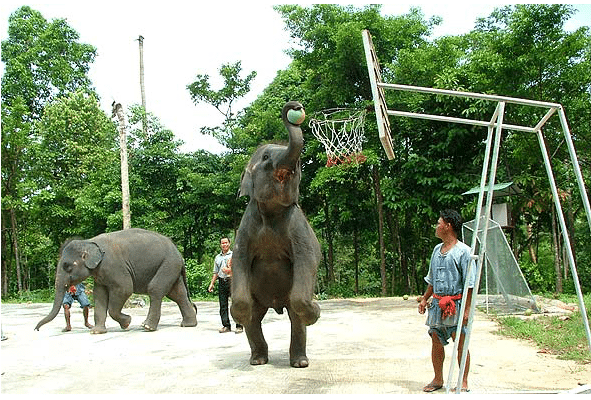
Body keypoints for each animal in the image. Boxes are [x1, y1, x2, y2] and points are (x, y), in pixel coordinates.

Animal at [35, 228, 198, 334]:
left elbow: (125, 288)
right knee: (177, 294)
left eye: (67, 266)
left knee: (155, 289)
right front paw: (97, 332)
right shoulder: (99, 275)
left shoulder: (114, 266)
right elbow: (99, 295)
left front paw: (127, 323)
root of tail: (179, 254)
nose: (36, 329)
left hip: (168, 265)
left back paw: (147, 327)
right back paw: (188, 325)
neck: (89, 242)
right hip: (171, 267)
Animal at [231, 101, 324, 368]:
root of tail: (275, 305)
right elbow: (238, 259)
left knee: (295, 316)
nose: (296, 107)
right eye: (265, 157)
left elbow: (307, 258)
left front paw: (315, 310)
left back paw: (300, 362)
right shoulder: (246, 225)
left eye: (300, 164)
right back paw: (258, 360)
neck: (271, 212)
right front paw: (239, 314)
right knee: (255, 319)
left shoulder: (297, 223)